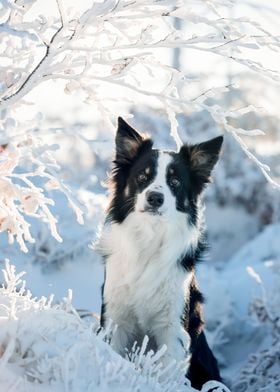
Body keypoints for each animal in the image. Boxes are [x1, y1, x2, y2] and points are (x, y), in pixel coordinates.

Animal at [98, 117, 223, 388]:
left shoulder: (172, 326)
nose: (155, 198)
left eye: (175, 183)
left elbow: (168, 371)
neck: (149, 238)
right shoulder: (115, 317)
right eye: (142, 177)